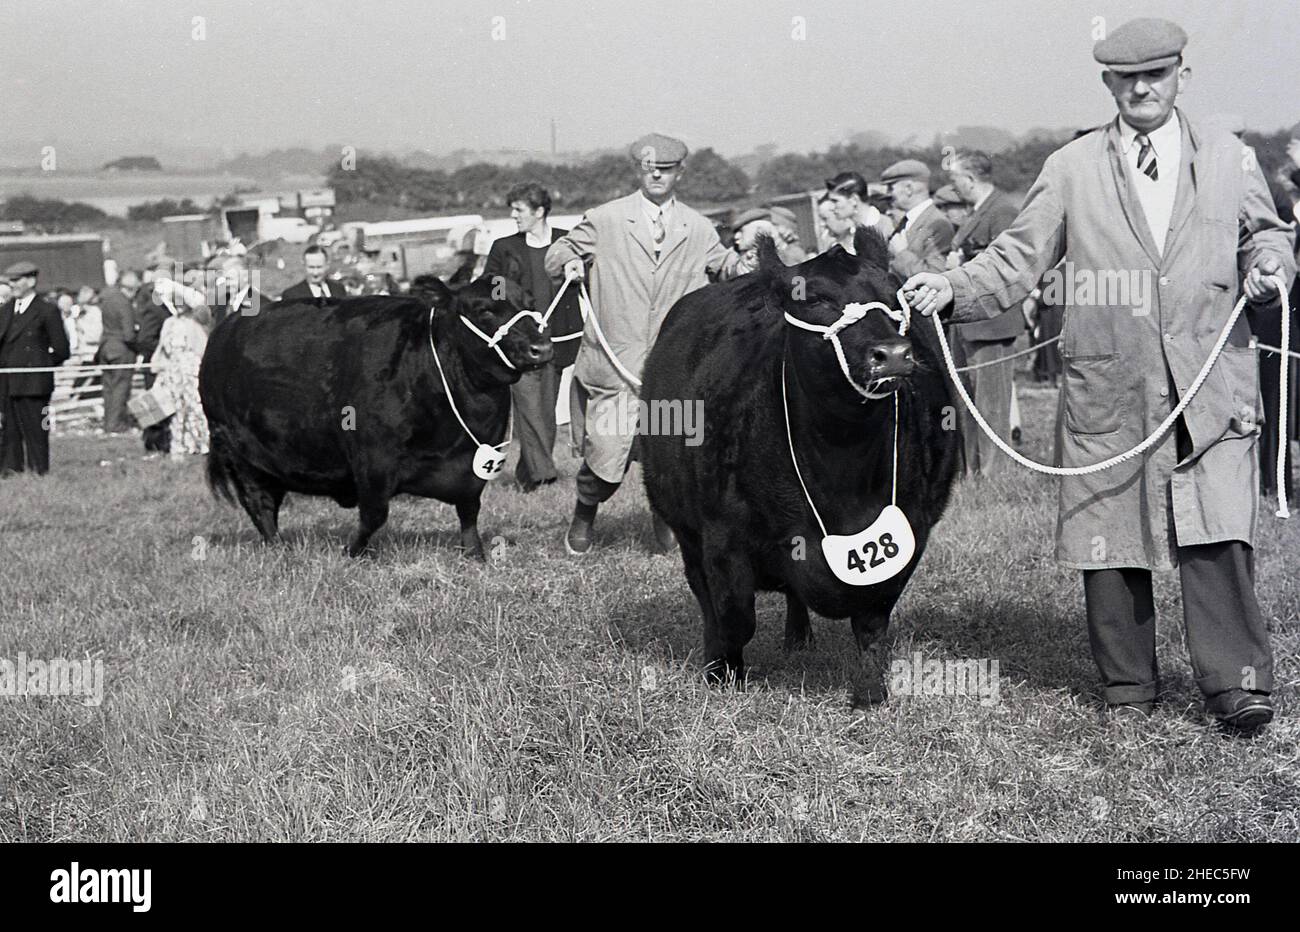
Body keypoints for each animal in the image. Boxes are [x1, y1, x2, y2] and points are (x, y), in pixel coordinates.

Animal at [197, 274, 553, 553]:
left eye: (531, 303)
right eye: (484, 310)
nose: (542, 348)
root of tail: (227, 326)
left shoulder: (473, 465)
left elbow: (469, 510)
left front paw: (474, 553)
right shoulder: (372, 458)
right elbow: (375, 514)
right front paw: (352, 551)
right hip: (238, 450)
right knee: (260, 503)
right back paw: (278, 548)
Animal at [642, 231, 967, 707]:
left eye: (895, 294)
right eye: (814, 298)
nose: (892, 355)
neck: (841, 462)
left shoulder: (911, 530)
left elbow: (872, 622)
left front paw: (870, 693)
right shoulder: (722, 536)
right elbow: (734, 614)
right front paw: (723, 673)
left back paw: (798, 638)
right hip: (684, 528)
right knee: (706, 597)